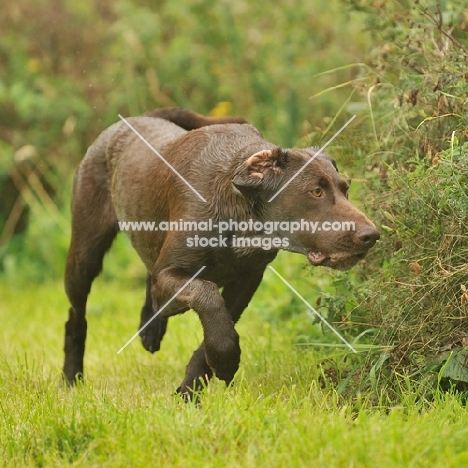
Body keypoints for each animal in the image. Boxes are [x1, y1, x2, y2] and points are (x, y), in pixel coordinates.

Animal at [62, 109, 378, 398]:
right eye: (315, 192)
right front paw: (225, 361)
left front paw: (191, 390)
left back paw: (150, 329)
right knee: (77, 317)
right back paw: (71, 377)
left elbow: (216, 327)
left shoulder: (247, 280)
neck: (240, 212)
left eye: (345, 190)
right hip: (84, 256)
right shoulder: (172, 276)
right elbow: (207, 294)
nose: (371, 236)